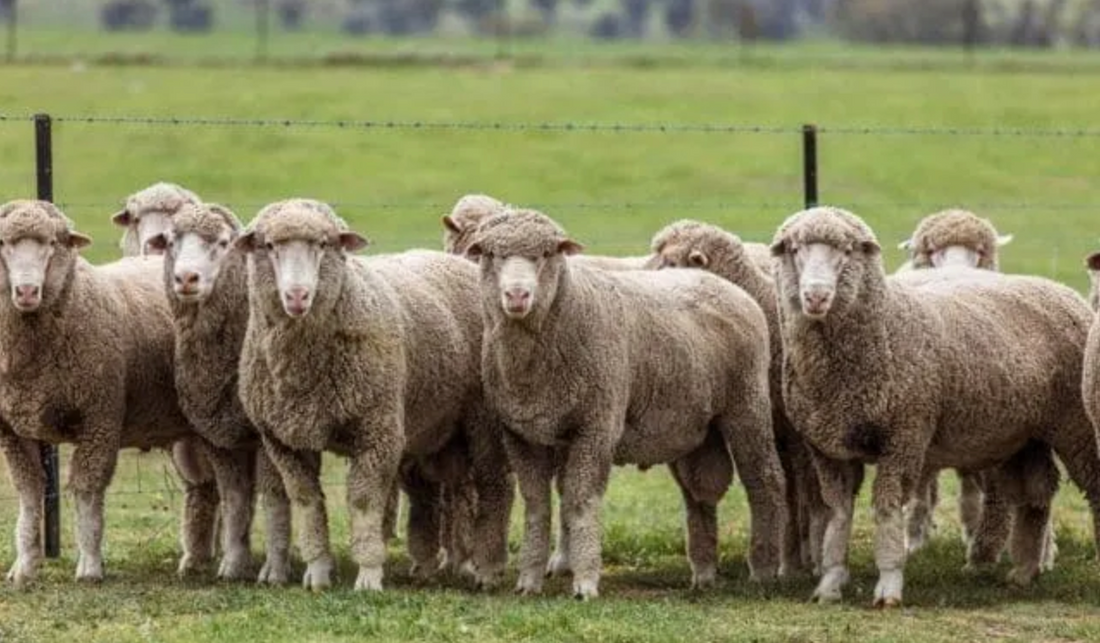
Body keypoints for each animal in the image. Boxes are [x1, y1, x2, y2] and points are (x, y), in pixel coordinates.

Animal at [0, 197, 213, 584]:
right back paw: (196, 560)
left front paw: (90, 565)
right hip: (188, 428)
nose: (25, 291)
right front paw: (24, 566)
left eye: (52, 243)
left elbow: (86, 490)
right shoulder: (12, 429)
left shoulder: (99, 417)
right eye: (4, 243)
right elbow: (29, 493)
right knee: (204, 485)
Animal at [236, 197, 510, 589]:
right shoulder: (284, 441)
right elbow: (306, 501)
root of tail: (460, 263)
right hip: (432, 428)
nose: (298, 295)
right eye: (269, 246)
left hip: (481, 420)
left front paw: (368, 575)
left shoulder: (376, 430)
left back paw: (485, 568)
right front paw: (318, 570)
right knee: (442, 490)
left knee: (492, 485)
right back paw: (439, 563)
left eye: (324, 245)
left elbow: (364, 501)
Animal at [468, 207, 787, 597]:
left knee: (765, 480)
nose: (517, 295)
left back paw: (764, 568)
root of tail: (725, 286)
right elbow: (537, 505)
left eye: (546, 254)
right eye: (490, 254)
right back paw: (704, 573)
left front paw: (585, 581)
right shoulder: (521, 434)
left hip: (747, 405)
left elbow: (580, 501)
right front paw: (529, 580)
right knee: (699, 494)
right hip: (694, 428)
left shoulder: (597, 425)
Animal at [774, 205, 1100, 606]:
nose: (816, 296)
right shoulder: (827, 447)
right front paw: (831, 581)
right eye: (795, 249)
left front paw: (889, 584)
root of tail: (1058, 288)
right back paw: (1024, 570)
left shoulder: (904, 436)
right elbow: (839, 513)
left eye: (847, 251)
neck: (886, 327)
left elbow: (886, 508)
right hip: (1024, 435)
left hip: (1076, 426)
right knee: (1036, 493)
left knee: (1091, 489)